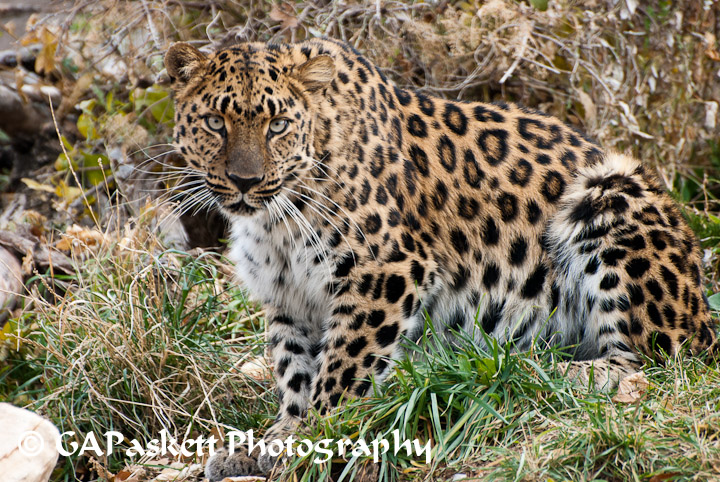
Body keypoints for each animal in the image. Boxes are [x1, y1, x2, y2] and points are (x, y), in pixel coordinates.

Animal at [163, 37, 718, 480]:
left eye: (277, 125)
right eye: (214, 122)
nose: (245, 181)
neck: (275, 219)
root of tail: (701, 309)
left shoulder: (382, 271)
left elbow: (342, 367)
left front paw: (312, 437)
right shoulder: (286, 296)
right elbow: (295, 368)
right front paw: (275, 435)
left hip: (609, 190)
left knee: (653, 363)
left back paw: (540, 367)